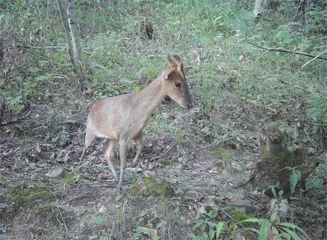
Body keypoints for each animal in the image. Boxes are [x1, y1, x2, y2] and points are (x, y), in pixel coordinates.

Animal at [81, 55, 193, 188]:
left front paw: (133, 163)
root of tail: (92, 109)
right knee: (85, 146)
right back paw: (81, 164)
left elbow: (140, 147)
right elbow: (123, 163)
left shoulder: (137, 132)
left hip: (111, 138)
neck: (140, 110)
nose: (189, 105)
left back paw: (115, 177)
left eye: (186, 82)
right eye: (177, 83)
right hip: (90, 131)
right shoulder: (124, 135)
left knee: (106, 155)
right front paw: (120, 187)